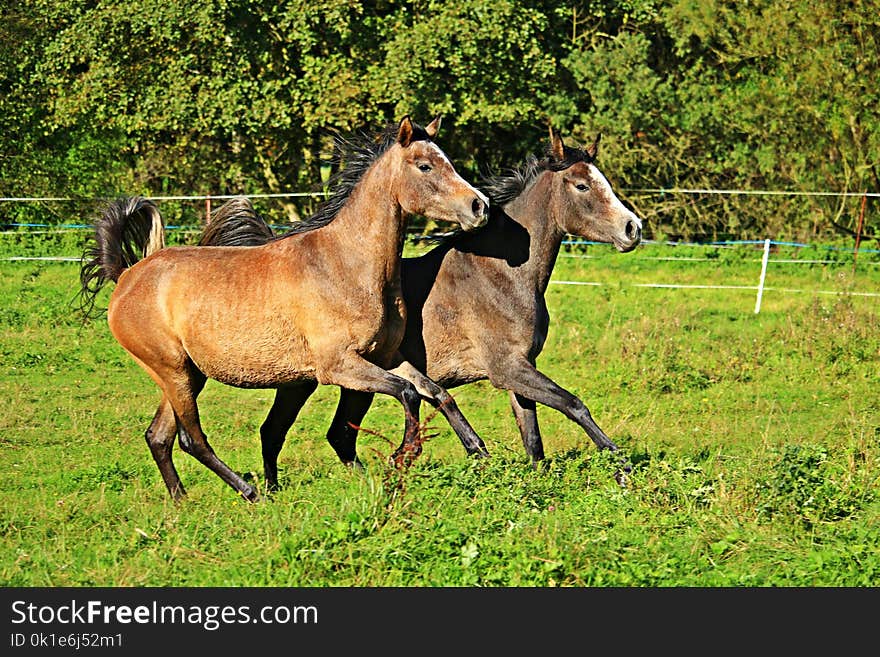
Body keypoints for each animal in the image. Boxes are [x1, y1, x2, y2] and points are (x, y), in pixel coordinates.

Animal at [77, 115, 488, 500]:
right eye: (425, 165)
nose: (478, 205)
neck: (346, 264)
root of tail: (126, 276)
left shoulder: (385, 356)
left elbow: (436, 391)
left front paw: (478, 451)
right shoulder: (338, 366)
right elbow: (406, 393)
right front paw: (402, 455)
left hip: (186, 375)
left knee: (158, 436)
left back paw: (182, 502)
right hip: (173, 372)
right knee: (190, 439)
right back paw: (251, 492)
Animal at [199, 129, 640, 476]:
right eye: (582, 186)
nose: (632, 228)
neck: (500, 275)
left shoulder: (519, 369)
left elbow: (533, 438)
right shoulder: (507, 369)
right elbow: (574, 404)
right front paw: (621, 467)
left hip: (348, 384)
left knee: (333, 434)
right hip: (307, 381)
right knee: (280, 432)